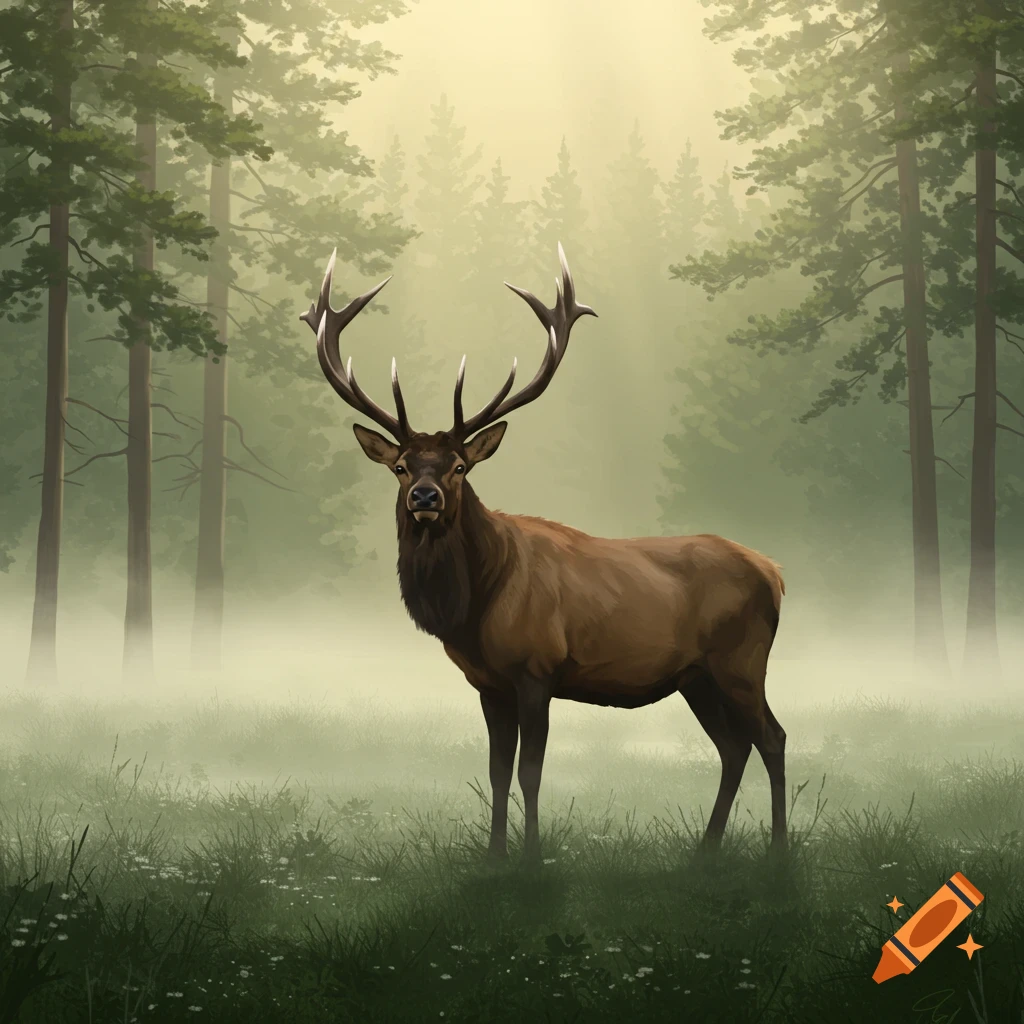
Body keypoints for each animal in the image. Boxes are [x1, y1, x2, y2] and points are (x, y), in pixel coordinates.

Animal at [300, 244, 788, 862]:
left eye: (460, 466)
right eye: (402, 466)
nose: (425, 498)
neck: (473, 609)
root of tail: (775, 572)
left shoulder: (537, 668)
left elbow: (530, 771)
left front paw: (532, 857)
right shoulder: (487, 683)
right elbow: (496, 772)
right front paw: (495, 856)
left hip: (742, 660)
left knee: (771, 738)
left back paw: (779, 850)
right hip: (696, 675)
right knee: (733, 746)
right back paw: (707, 849)